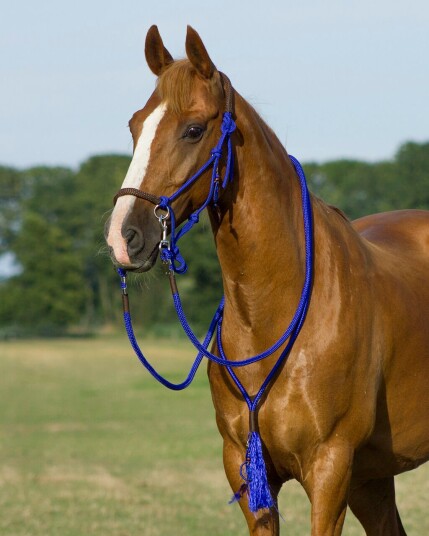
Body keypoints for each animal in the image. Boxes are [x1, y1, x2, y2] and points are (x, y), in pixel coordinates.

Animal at [104, 26, 428, 536]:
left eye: (194, 129)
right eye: (135, 126)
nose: (123, 237)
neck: (276, 313)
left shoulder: (331, 468)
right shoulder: (247, 471)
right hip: (373, 476)